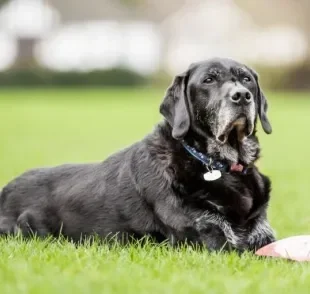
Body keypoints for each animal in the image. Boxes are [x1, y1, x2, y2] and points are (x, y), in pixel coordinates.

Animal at [0, 58, 276, 252]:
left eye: (246, 79)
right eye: (209, 80)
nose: (241, 95)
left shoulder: (263, 235)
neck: (219, 165)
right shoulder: (210, 239)